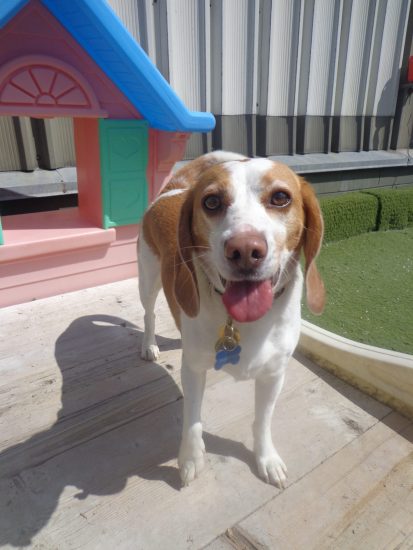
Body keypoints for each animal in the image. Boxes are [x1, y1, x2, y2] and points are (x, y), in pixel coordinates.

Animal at [138, 151, 325, 487]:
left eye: (280, 197)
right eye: (211, 202)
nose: (245, 249)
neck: (243, 323)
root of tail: (174, 189)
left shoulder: (274, 374)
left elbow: (263, 421)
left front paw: (266, 458)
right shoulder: (193, 369)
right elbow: (192, 421)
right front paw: (190, 459)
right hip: (147, 281)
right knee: (148, 315)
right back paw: (149, 345)